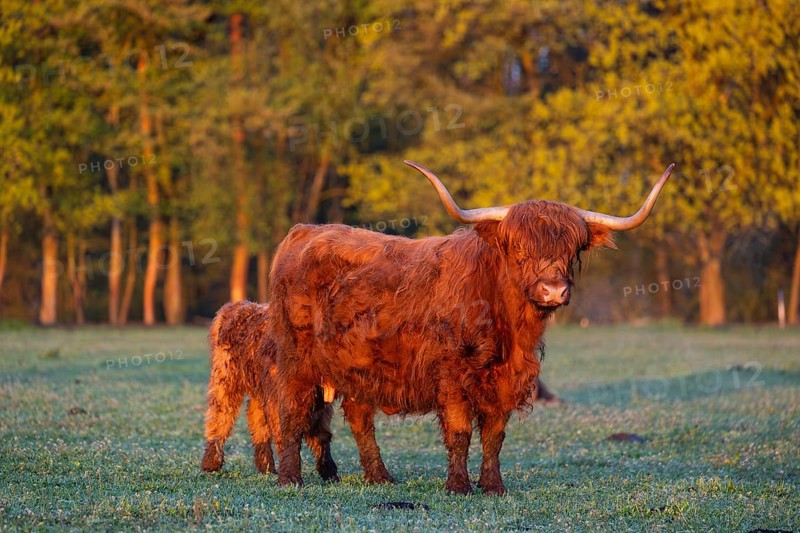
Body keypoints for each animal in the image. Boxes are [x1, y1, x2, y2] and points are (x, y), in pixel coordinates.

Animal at [201, 300, 338, 482]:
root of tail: (232, 306)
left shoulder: (321, 404)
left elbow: (322, 435)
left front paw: (329, 472)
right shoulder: (280, 399)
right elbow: (284, 433)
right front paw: (291, 476)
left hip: (259, 387)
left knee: (255, 418)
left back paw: (265, 465)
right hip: (225, 378)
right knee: (220, 415)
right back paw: (211, 463)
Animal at [268, 160, 674, 494]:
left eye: (571, 251)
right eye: (519, 250)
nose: (553, 290)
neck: (507, 328)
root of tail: (303, 231)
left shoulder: (506, 378)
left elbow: (495, 434)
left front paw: (493, 486)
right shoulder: (451, 374)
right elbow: (461, 430)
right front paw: (458, 486)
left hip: (359, 365)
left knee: (359, 416)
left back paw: (380, 477)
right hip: (295, 359)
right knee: (291, 411)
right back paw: (290, 479)